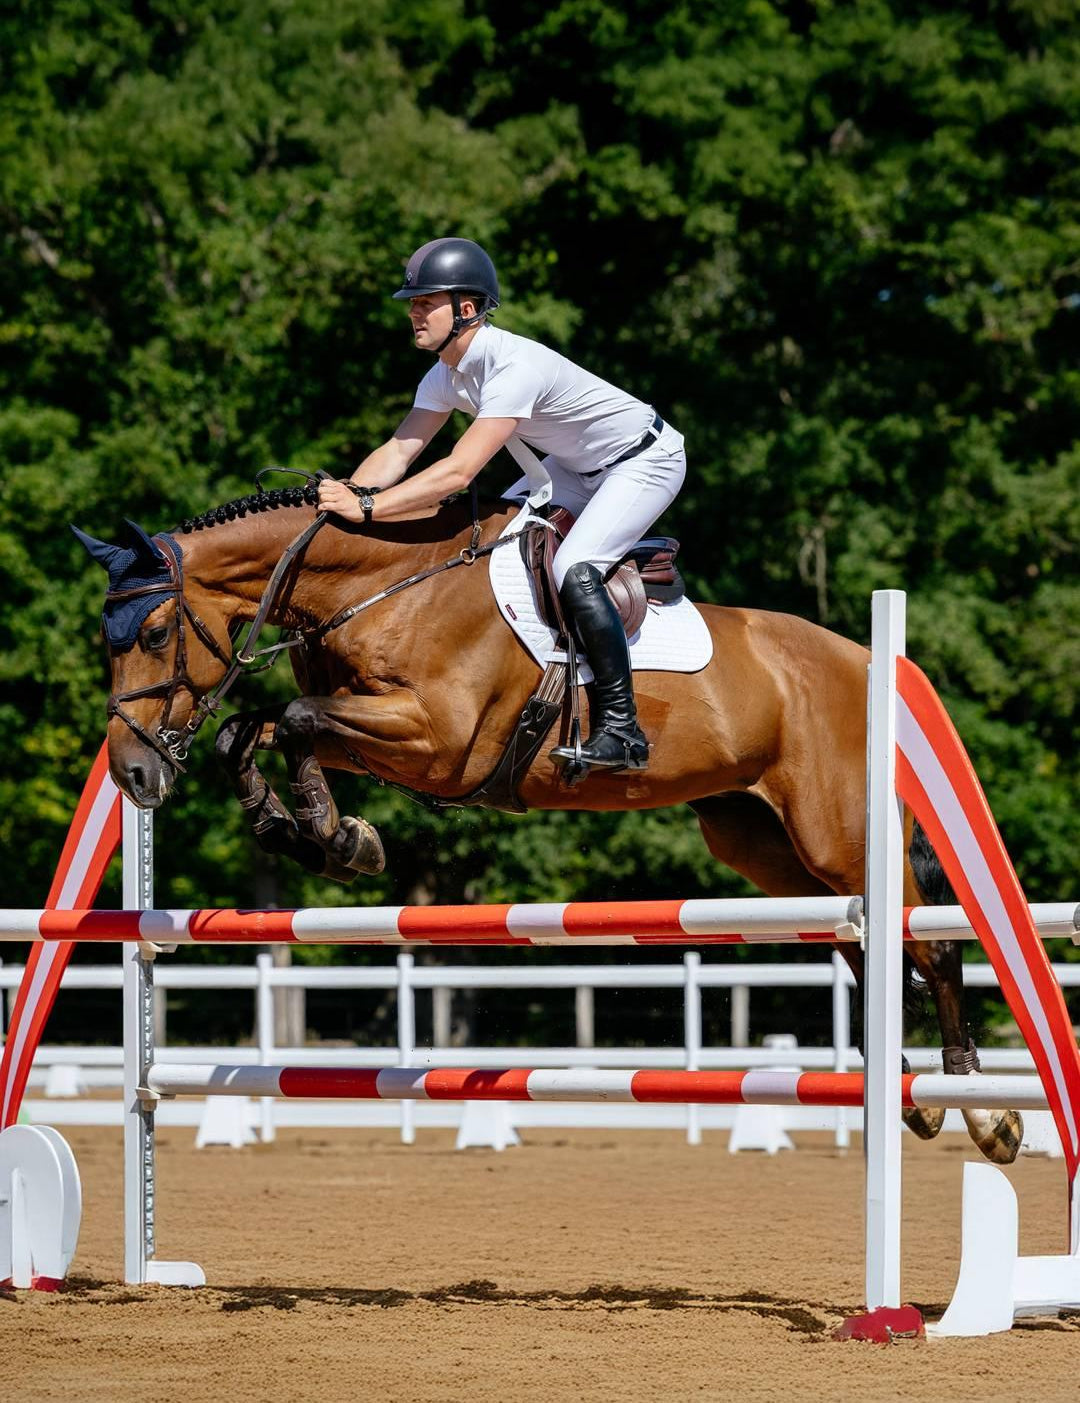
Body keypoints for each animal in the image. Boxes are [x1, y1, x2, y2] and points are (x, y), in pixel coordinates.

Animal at [73, 481, 1021, 1164]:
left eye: (151, 633)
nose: (133, 772)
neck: (378, 585)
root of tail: (865, 658)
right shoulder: (380, 730)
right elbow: (251, 727)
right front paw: (292, 824)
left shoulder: (437, 739)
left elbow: (298, 719)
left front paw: (338, 836)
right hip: (763, 844)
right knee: (860, 945)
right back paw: (910, 1097)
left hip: (839, 834)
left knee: (930, 946)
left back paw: (984, 1114)